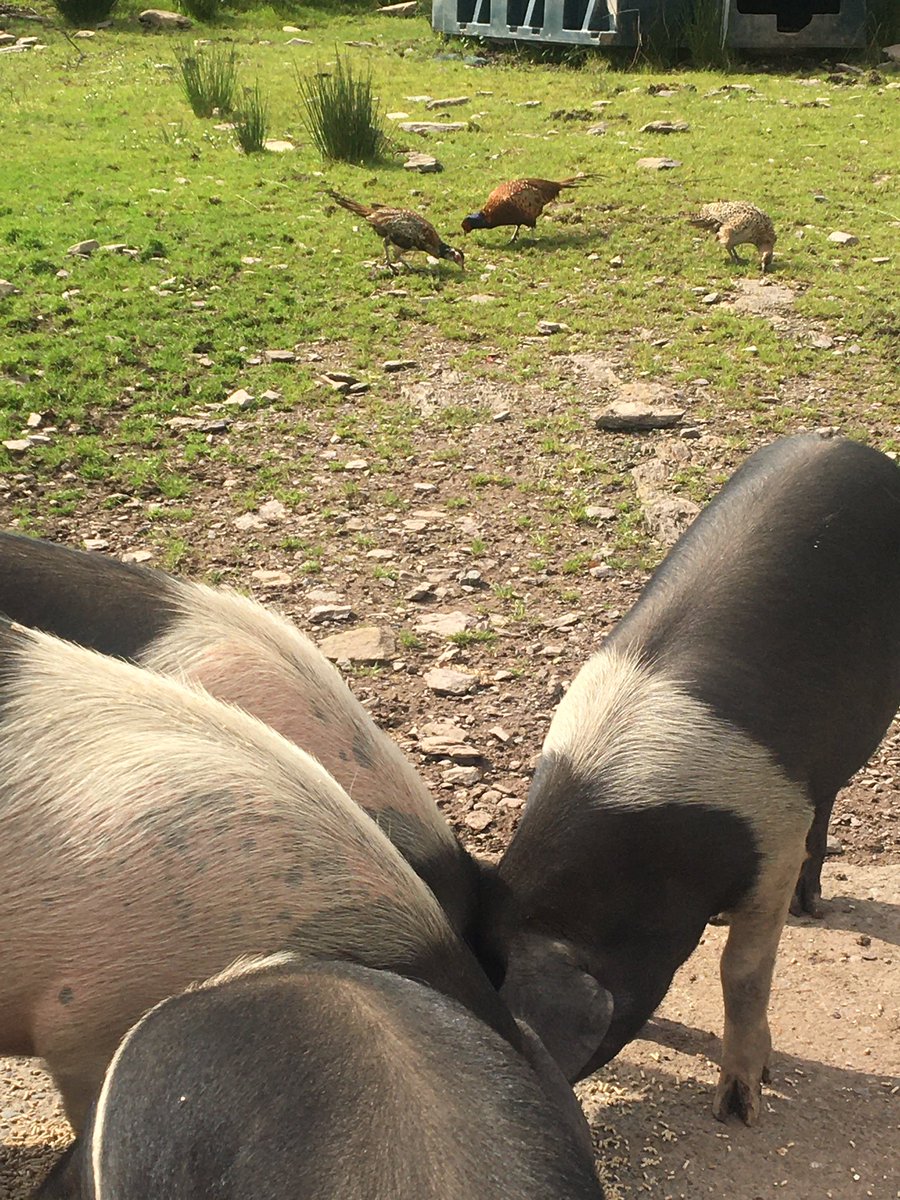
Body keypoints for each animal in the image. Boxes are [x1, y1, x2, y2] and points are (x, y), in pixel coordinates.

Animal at [480, 434, 900, 1123]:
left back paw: (810, 907)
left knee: (826, 807)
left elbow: (742, 972)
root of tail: (842, 441)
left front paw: (738, 1106)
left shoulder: (771, 829)